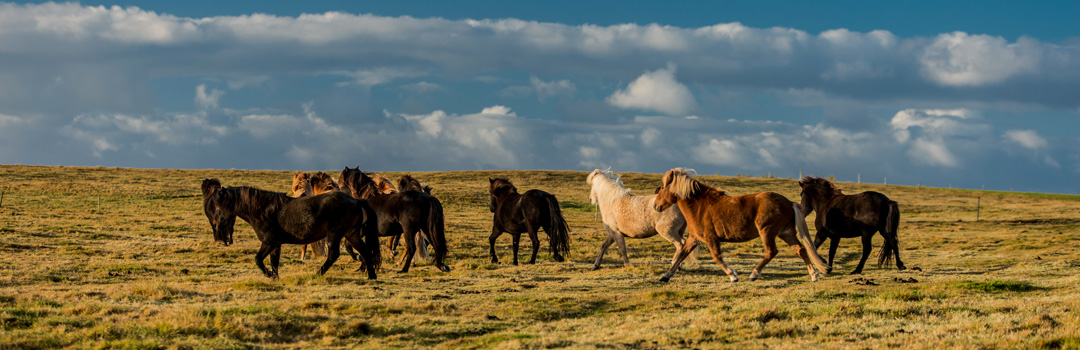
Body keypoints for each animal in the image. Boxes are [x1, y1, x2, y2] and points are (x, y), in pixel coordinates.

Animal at [200, 179, 382, 280]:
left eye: (218, 207)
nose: (218, 229)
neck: (263, 210)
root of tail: (357, 201)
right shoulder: (276, 244)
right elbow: (274, 262)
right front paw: (274, 277)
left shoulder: (269, 242)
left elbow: (258, 259)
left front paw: (268, 274)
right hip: (351, 235)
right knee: (366, 252)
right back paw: (371, 276)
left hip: (335, 235)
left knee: (333, 255)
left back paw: (318, 273)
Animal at [648, 168, 833, 283]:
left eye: (663, 187)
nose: (656, 206)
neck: (700, 206)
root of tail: (789, 202)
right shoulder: (694, 238)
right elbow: (681, 256)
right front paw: (665, 276)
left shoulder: (711, 238)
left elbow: (717, 257)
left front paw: (733, 276)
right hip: (786, 233)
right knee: (801, 249)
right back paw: (813, 275)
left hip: (767, 232)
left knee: (771, 252)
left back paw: (754, 274)